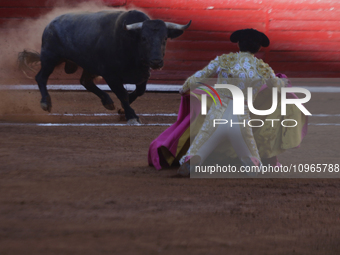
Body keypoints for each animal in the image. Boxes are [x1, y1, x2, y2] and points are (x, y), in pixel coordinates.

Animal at [17, 10, 191, 124]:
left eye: (165, 38)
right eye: (143, 38)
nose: (156, 61)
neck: (129, 42)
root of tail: (50, 24)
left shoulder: (143, 74)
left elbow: (139, 92)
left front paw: (122, 111)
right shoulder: (111, 75)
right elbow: (123, 94)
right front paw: (131, 116)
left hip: (87, 64)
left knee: (85, 82)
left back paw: (107, 101)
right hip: (50, 57)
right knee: (41, 77)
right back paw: (46, 103)